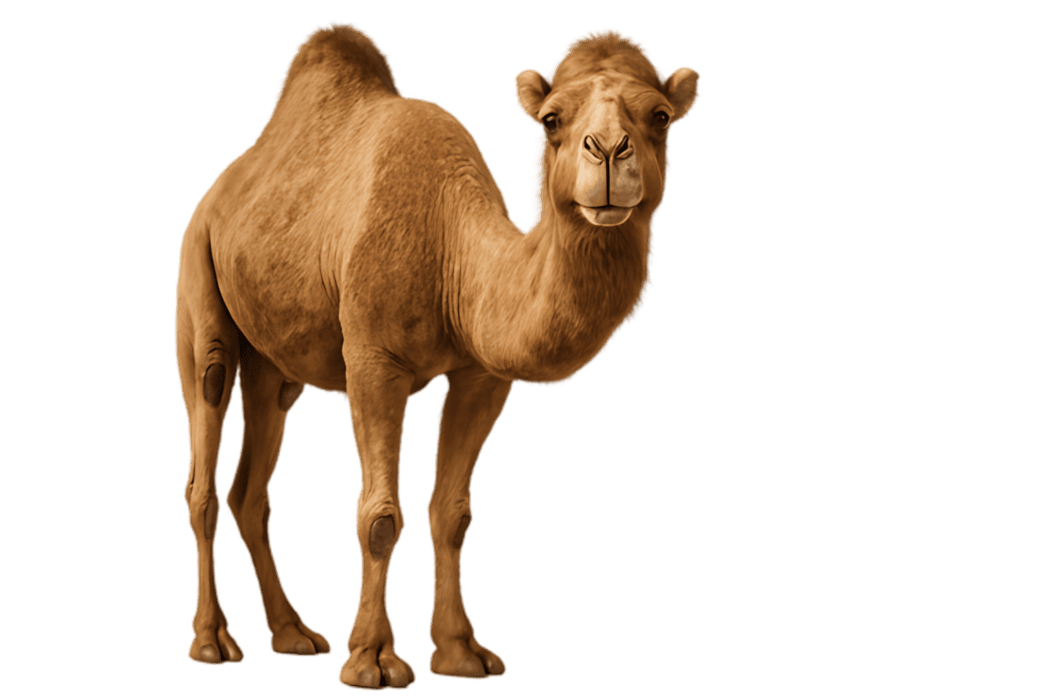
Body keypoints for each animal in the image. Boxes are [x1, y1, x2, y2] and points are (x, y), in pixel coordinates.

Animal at [174, 19, 700, 690]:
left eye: (660, 116)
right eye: (551, 119)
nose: (607, 151)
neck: (453, 248)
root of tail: (220, 187)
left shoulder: (482, 375)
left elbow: (453, 514)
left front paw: (461, 653)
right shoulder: (373, 360)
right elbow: (378, 518)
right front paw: (372, 660)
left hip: (273, 358)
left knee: (252, 482)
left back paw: (293, 633)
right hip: (198, 271)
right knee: (205, 451)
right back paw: (212, 641)